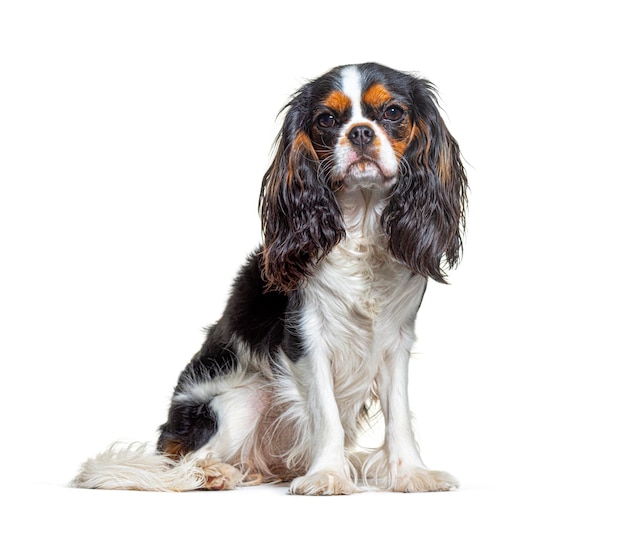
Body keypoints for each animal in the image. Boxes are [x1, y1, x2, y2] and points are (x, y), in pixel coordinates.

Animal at [72, 63, 464, 494]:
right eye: (327, 120)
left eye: (393, 112)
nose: (360, 132)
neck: (360, 224)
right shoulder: (306, 338)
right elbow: (325, 412)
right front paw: (328, 474)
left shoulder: (395, 340)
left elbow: (399, 414)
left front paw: (410, 473)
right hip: (239, 400)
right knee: (186, 462)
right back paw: (215, 473)